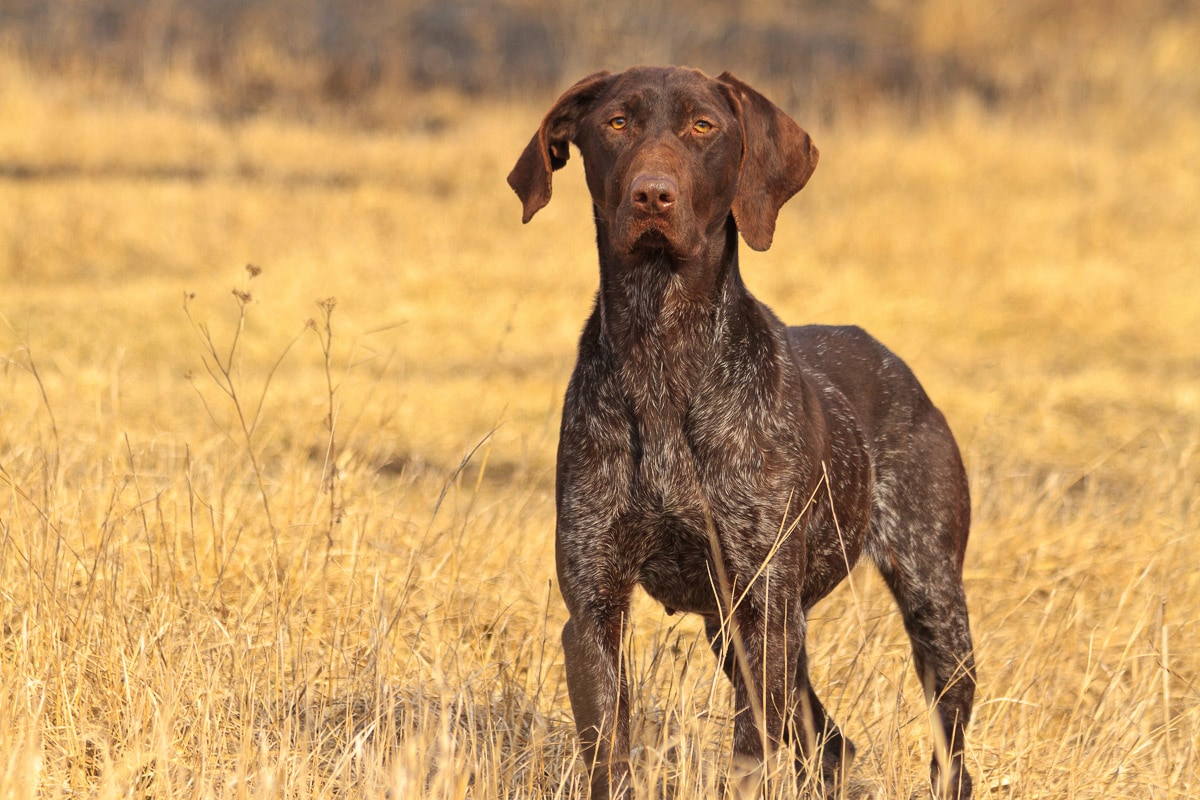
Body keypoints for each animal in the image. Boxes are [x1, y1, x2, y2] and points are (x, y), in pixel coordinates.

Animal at [506, 65, 974, 796]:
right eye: (616, 123)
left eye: (704, 126)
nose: (653, 195)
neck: (662, 344)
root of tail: (895, 363)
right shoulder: (594, 611)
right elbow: (610, 750)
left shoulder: (764, 608)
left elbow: (752, 754)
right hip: (739, 634)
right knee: (833, 746)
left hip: (933, 603)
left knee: (947, 756)